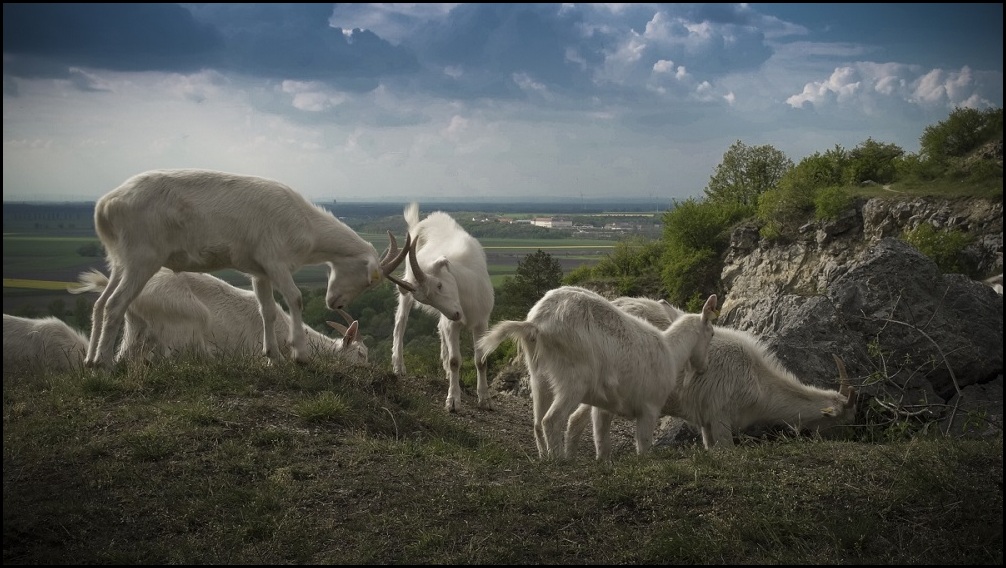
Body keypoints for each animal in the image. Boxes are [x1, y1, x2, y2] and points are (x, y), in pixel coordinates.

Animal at [388, 201, 494, 410]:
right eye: (426, 300)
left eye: (439, 285)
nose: (456, 314)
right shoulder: (452, 324)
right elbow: (455, 361)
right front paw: (453, 400)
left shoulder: (481, 322)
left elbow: (481, 361)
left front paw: (484, 399)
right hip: (407, 288)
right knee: (400, 323)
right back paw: (399, 365)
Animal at [476, 285, 720, 458]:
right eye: (712, 334)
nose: (705, 366)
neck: (671, 352)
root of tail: (536, 324)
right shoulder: (649, 408)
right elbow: (643, 448)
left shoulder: (605, 405)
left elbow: (601, 443)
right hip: (573, 379)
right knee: (551, 420)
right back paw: (558, 461)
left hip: (539, 375)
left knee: (537, 422)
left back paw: (545, 457)